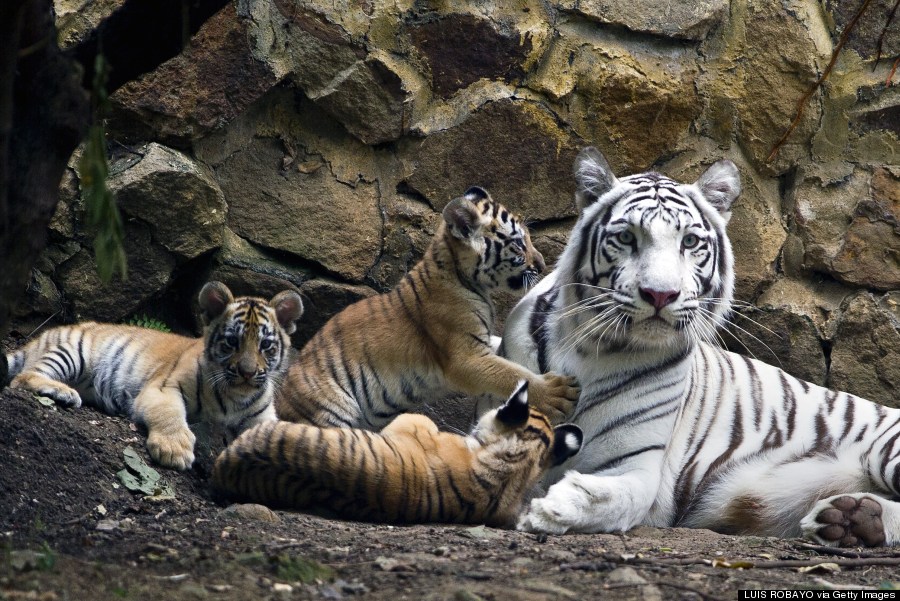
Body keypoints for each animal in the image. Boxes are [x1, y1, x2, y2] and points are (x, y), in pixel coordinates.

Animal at [500, 148, 900, 548]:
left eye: (690, 242)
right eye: (627, 238)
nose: (660, 294)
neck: (590, 349)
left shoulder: (639, 466)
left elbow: (613, 498)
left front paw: (547, 509)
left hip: (887, 450)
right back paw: (850, 519)